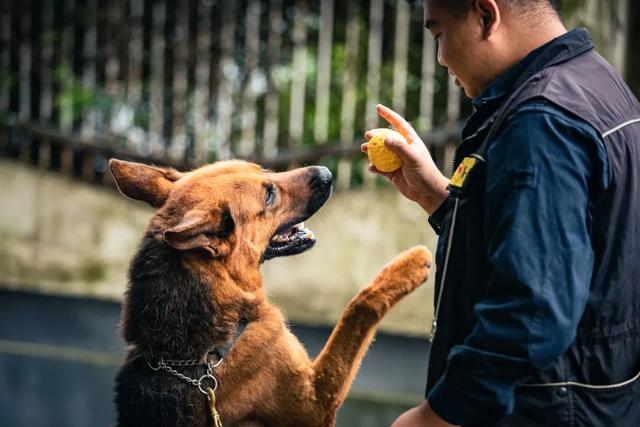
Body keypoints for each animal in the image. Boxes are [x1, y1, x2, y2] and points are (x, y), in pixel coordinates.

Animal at [110, 160, 432, 427]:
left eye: (263, 169)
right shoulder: (316, 400)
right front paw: (410, 264)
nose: (326, 172)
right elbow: (359, 308)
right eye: (268, 196)